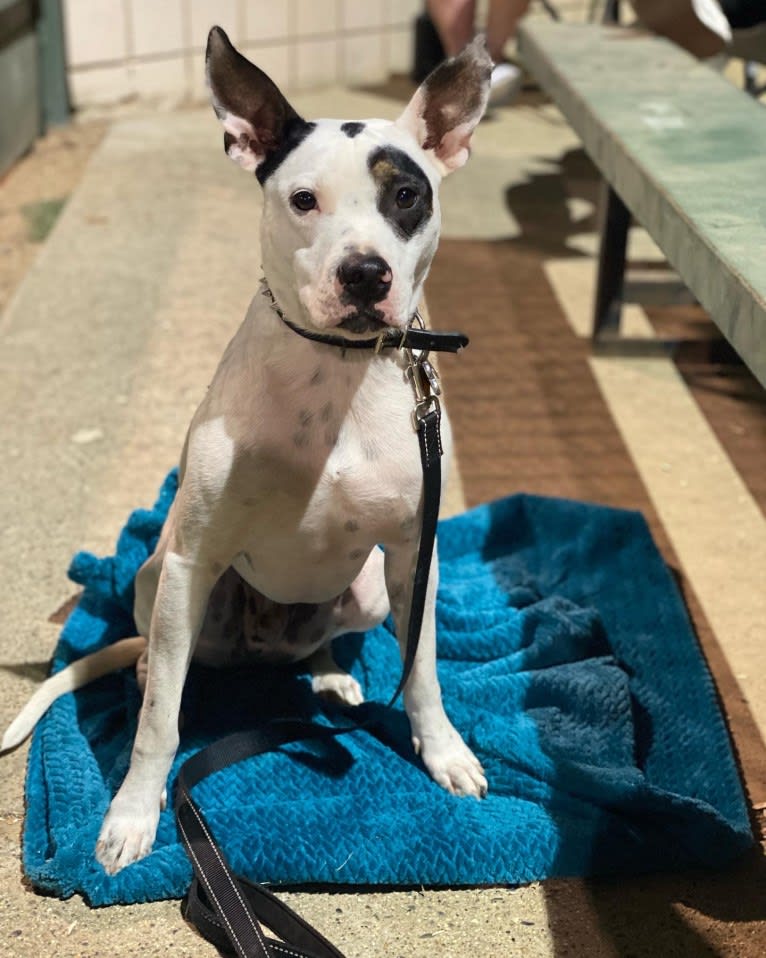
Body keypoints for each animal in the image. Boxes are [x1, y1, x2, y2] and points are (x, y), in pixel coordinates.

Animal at [3, 24, 492, 876]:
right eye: (303, 200)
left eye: (407, 196)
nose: (365, 274)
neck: (339, 374)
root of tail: (265, 648)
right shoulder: (193, 560)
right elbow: (158, 723)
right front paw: (132, 815)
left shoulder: (413, 555)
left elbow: (423, 673)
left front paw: (443, 752)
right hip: (159, 579)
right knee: (163, 661)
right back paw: (150, 666)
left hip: (366, 587)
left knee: (324, 640)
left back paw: (328, 677)